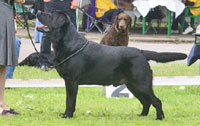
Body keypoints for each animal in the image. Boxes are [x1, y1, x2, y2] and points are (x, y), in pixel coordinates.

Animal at [36, 11, 187, 120]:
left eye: (50, 15)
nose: (37, 11)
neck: (68, 45)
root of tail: (141, 52)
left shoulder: (72, 81)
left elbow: (70, 101)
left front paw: (67, 116)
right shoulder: (68, 81)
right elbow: (68, 100)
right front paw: (65, 114)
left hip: (141, 84)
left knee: (156, 101)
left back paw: (159, 118)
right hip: (133, 85)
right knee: (146, 102)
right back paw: (142, 116)